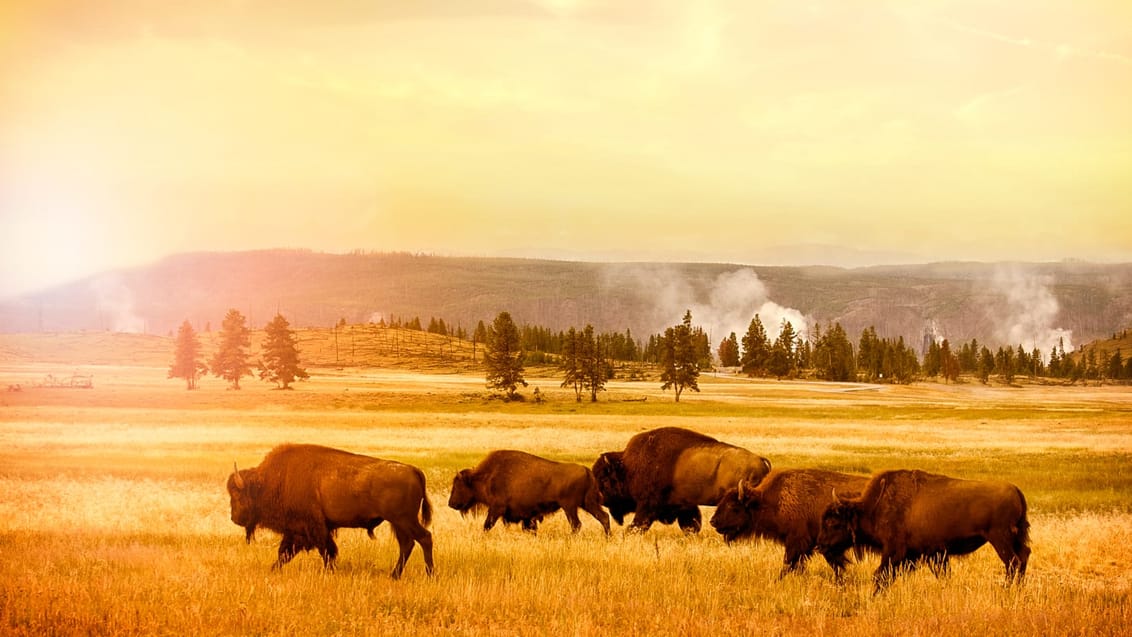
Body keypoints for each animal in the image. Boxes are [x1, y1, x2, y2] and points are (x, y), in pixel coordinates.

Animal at [225, 443, 432, 579]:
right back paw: (395, 575)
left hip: (404, 520)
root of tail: (413, 470)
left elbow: (326, 550)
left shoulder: (313, 527)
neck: (271, 481)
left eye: (238, 495)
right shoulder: (297, 531)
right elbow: (284, 553)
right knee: (407, 544)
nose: (234, 518)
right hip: (398, 523)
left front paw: (329, 572)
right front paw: (273, 570)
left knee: (424, 538)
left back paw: (430, 574)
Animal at [448, 450, 611, 536]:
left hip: (569, 507)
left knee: (576, 524)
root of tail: (586, 470)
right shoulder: (525, 516)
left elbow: (487, 524)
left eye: (458, 485)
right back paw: (608, 537)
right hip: (587, 503)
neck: (487, 476)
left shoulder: (496, 508)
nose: (451, 503)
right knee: (603, 517)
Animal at [593, 427, 769, 534]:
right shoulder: (685, 506)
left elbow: (638, 524)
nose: (601, 499)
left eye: (604, 479)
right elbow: (691, 525)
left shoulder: (647, 505)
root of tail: (760, 461)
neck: (628, 467)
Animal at [819, 468, 1032, 592]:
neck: (873, 507)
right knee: (1023, 556)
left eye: (833, 522)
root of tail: (1016, 490)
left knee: (1012, 561)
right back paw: (1018, 588)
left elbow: (881, 575)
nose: (820, 546)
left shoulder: (895, 552)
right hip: (1014, 538)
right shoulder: (934, 554)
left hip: (999, 538)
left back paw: (1007, 589)